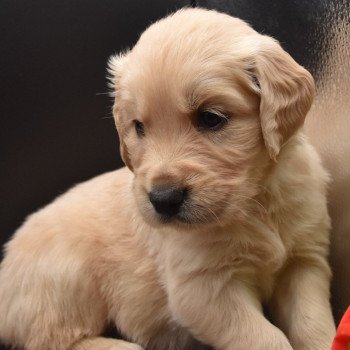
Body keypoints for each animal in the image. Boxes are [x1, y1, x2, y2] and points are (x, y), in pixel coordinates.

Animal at [0, 6, 336, 350]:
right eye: (138, 127)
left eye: (210, 118)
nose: (163, 199)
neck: (255, 203)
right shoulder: (204, 289)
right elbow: (266, 338)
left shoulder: (304, 262)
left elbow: (312, 324)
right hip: (65, 277)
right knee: (52, 338)